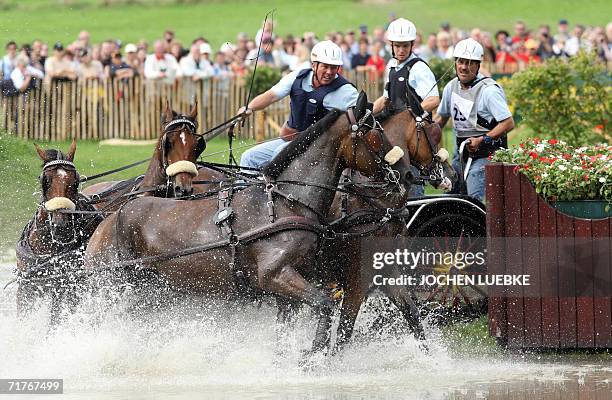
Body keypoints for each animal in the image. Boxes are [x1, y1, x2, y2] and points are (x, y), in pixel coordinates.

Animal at [83, 97, 414, 354]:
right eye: (374, 134)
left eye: (198, 145)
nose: (406, 172)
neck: (285, 202)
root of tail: (108, 219)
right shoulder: (275, 276)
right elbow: (326, 305)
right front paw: (313, 353)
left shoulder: (291, 289)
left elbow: (299, 321)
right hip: (111, 288)